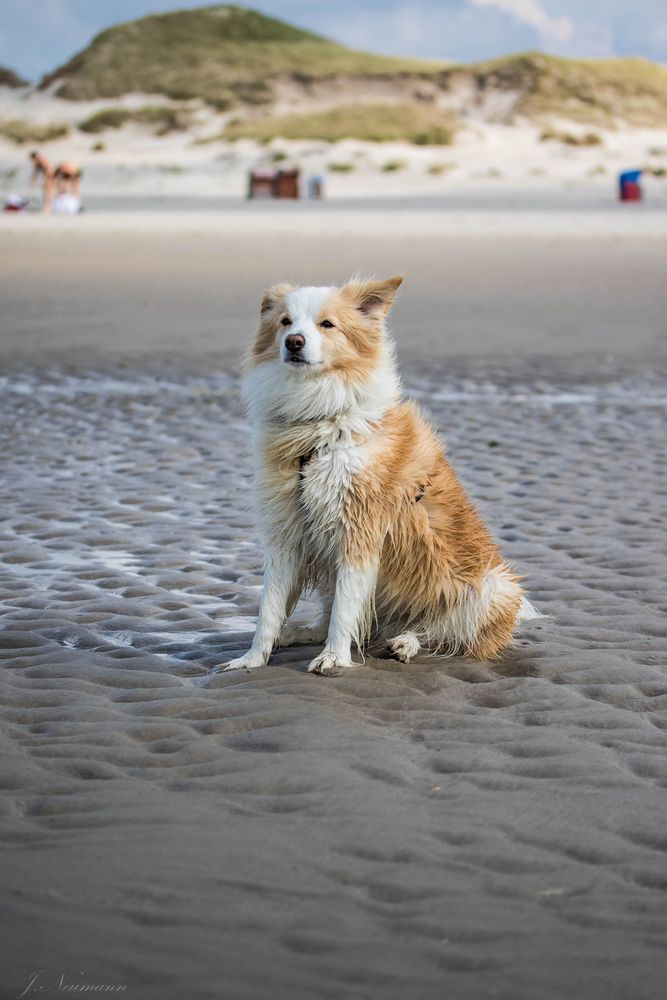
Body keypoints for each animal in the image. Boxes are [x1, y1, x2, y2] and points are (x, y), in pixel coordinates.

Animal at [222, 278, 540, 676]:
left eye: (327, 324)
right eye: (285, 322)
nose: (294, 342)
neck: (321, 423)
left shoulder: (359, 531)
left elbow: (345, 609)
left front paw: (333, 657)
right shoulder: (286, 534)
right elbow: (269, 608)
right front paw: (252, 658)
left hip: (494, 589)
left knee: (442, 632)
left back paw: (405, 642)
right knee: (338, 622)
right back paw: (295, 633)